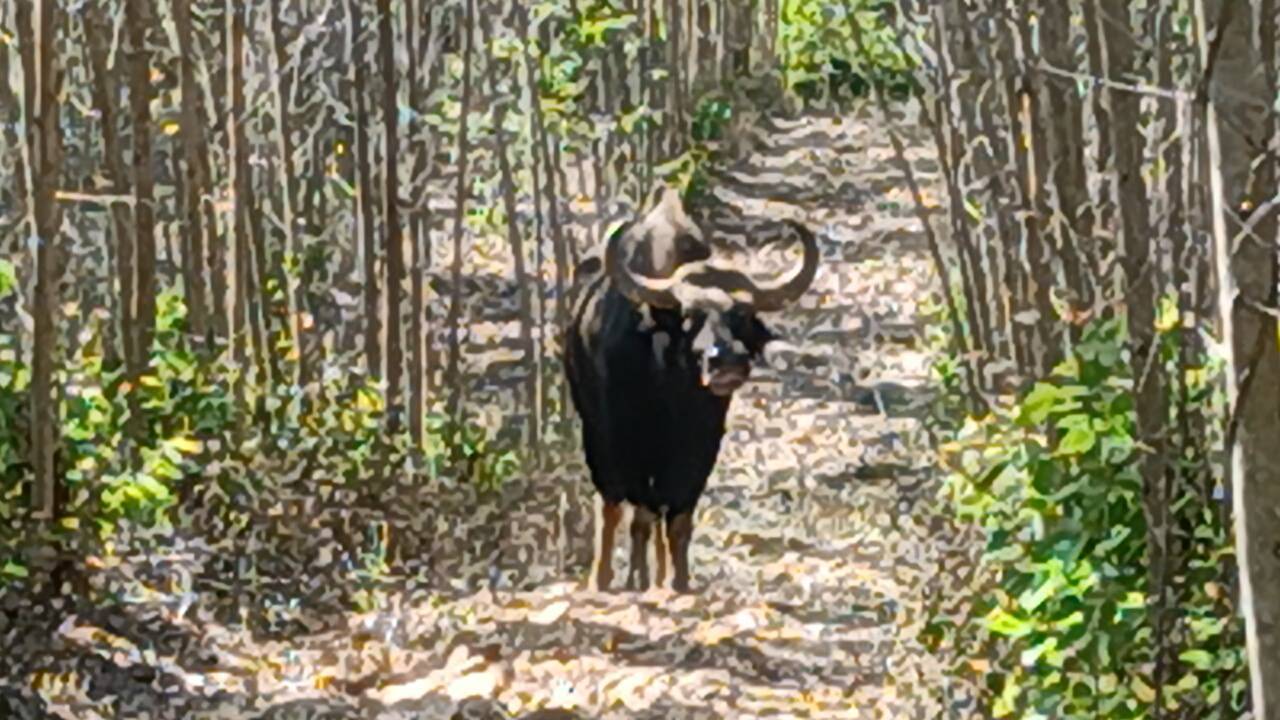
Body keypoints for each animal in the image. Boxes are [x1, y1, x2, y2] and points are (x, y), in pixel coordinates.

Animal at [563, 192, 819, 589]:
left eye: (743, 316)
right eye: (689, 317)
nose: (727, 362)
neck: (670, 395)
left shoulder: (701, 446)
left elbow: (679, 519)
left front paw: (678, 582)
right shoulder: (626, 442)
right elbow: (641, 514)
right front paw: (638, 580)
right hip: (597, 435)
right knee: (611, 504)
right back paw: (603, 578)